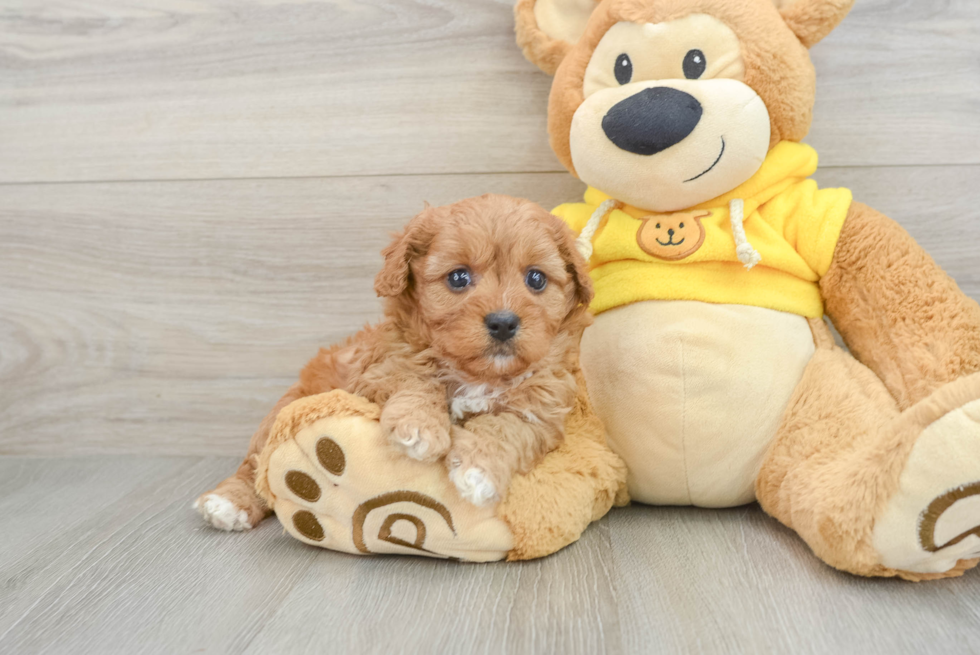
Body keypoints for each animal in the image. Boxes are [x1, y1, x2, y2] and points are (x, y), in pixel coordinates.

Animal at [191, 192, 588, 532]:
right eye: (458, 277)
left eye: (536, 278)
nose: (503, 322)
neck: (478, 374)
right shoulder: (376, 373)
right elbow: (414, 378)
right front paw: (421, 427)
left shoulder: (543, 408)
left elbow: (506, 425)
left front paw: (479, 470)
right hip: (282, 413)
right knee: (256, 466)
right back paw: (228, 504)